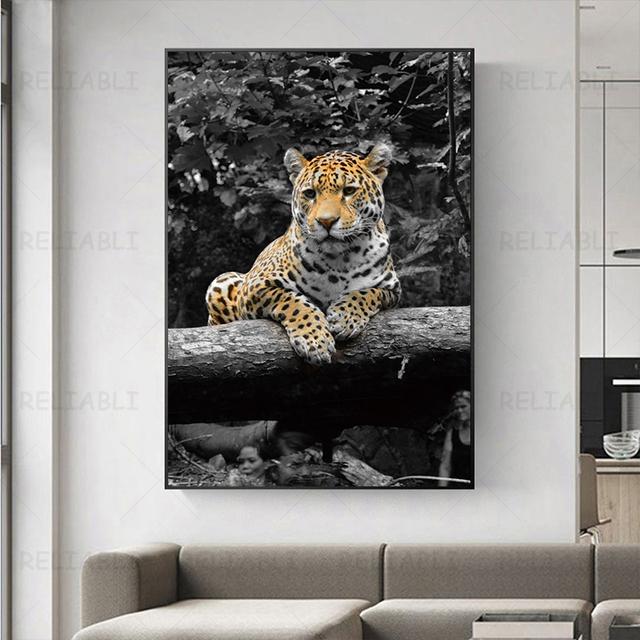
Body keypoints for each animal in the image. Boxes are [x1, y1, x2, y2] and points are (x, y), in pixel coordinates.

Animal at [205, 142, 401, 365]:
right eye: (310, 193)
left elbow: (367, 293)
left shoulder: (392, 289)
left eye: (349, 191)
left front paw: (345, 317)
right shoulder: (255, 287)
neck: (340, 260)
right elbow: (292, 300)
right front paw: (315, 341)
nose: (326, 221)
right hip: (223, 281)